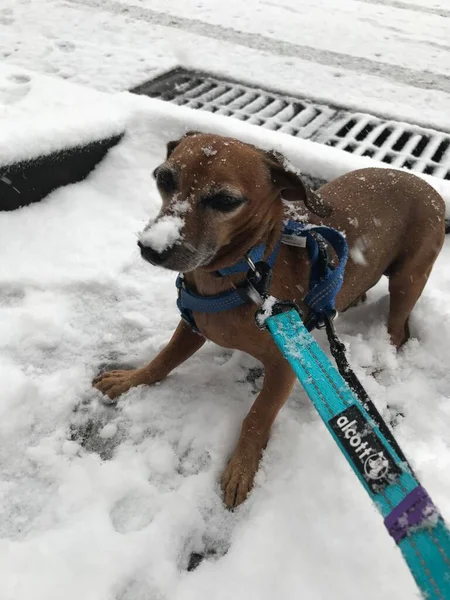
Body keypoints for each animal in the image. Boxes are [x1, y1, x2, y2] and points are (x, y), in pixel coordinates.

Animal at [92, 131, 446, 506]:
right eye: (163, 178)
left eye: (225, 200)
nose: (151, 248)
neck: (243, 273)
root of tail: (427, 187)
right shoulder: (191, 325)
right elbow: (163, 359)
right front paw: (130, 379)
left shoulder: (285, 364)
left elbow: (257, 416)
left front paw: (241, 468)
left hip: (409, 279)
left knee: (398, 330)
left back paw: (381, 360)